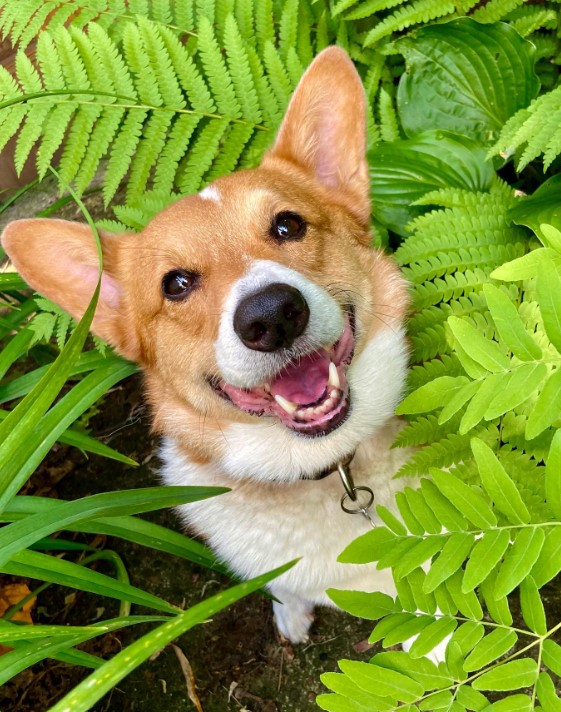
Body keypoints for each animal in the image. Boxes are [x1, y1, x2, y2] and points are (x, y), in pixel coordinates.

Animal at [1, 47, 412, 644]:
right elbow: (285, 586)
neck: (322, 468)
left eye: (288, 226)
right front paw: (290, 614)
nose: (271, 315)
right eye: (175, 284)